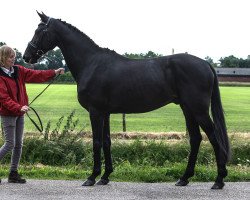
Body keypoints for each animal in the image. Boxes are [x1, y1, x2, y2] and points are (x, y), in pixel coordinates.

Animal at [23, 11, 230, 189]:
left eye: (40, 31)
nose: (26, 56)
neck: (92, 63)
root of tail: (206, 64)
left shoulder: (95, 112)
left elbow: (96, 142)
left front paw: (91, 177)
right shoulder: (104, 113)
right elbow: (106, 141)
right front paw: (105, 177)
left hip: (198, 110)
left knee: (213, 137)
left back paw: (219, 180)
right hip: (188, 109)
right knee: (195, 139)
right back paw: (184, 178)